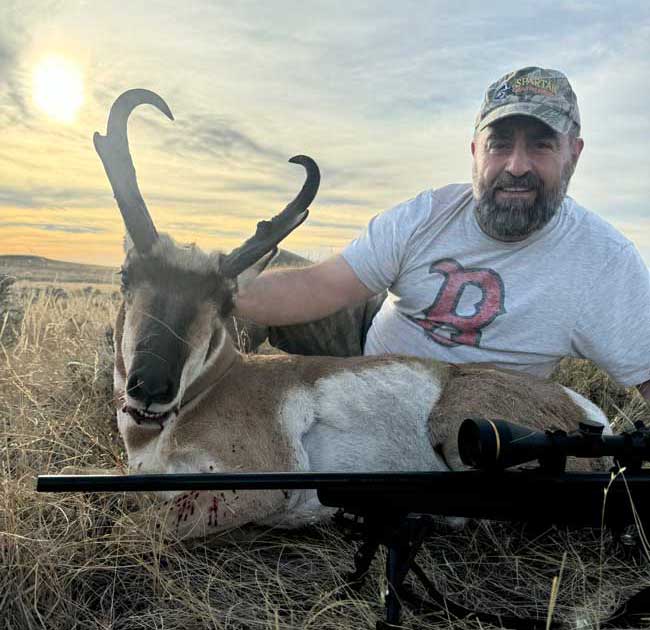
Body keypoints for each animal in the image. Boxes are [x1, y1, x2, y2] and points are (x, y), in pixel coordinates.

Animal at [91, 90, 608, 544]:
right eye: (126, 274)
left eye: (226, 300)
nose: (151, 386)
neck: (212, 385)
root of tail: (586, 414)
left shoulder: (253, 487)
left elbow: (134, 527)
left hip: (462, 430)